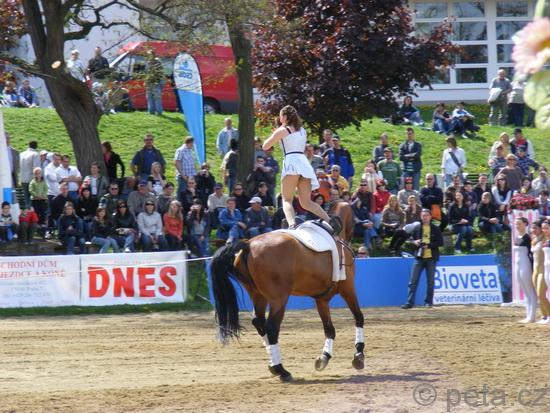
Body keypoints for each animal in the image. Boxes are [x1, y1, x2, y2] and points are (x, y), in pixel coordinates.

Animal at [210, 201, 365, 381]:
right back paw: (281, 370)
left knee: (259, 323)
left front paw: (324, 358)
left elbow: (329, 329)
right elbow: (358, 317)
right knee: (271, 328)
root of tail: (248, 244)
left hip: (258, 295)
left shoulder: (321, 299)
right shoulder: (348, 288)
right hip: (279, 299)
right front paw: (359, 354)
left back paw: (273, 364)